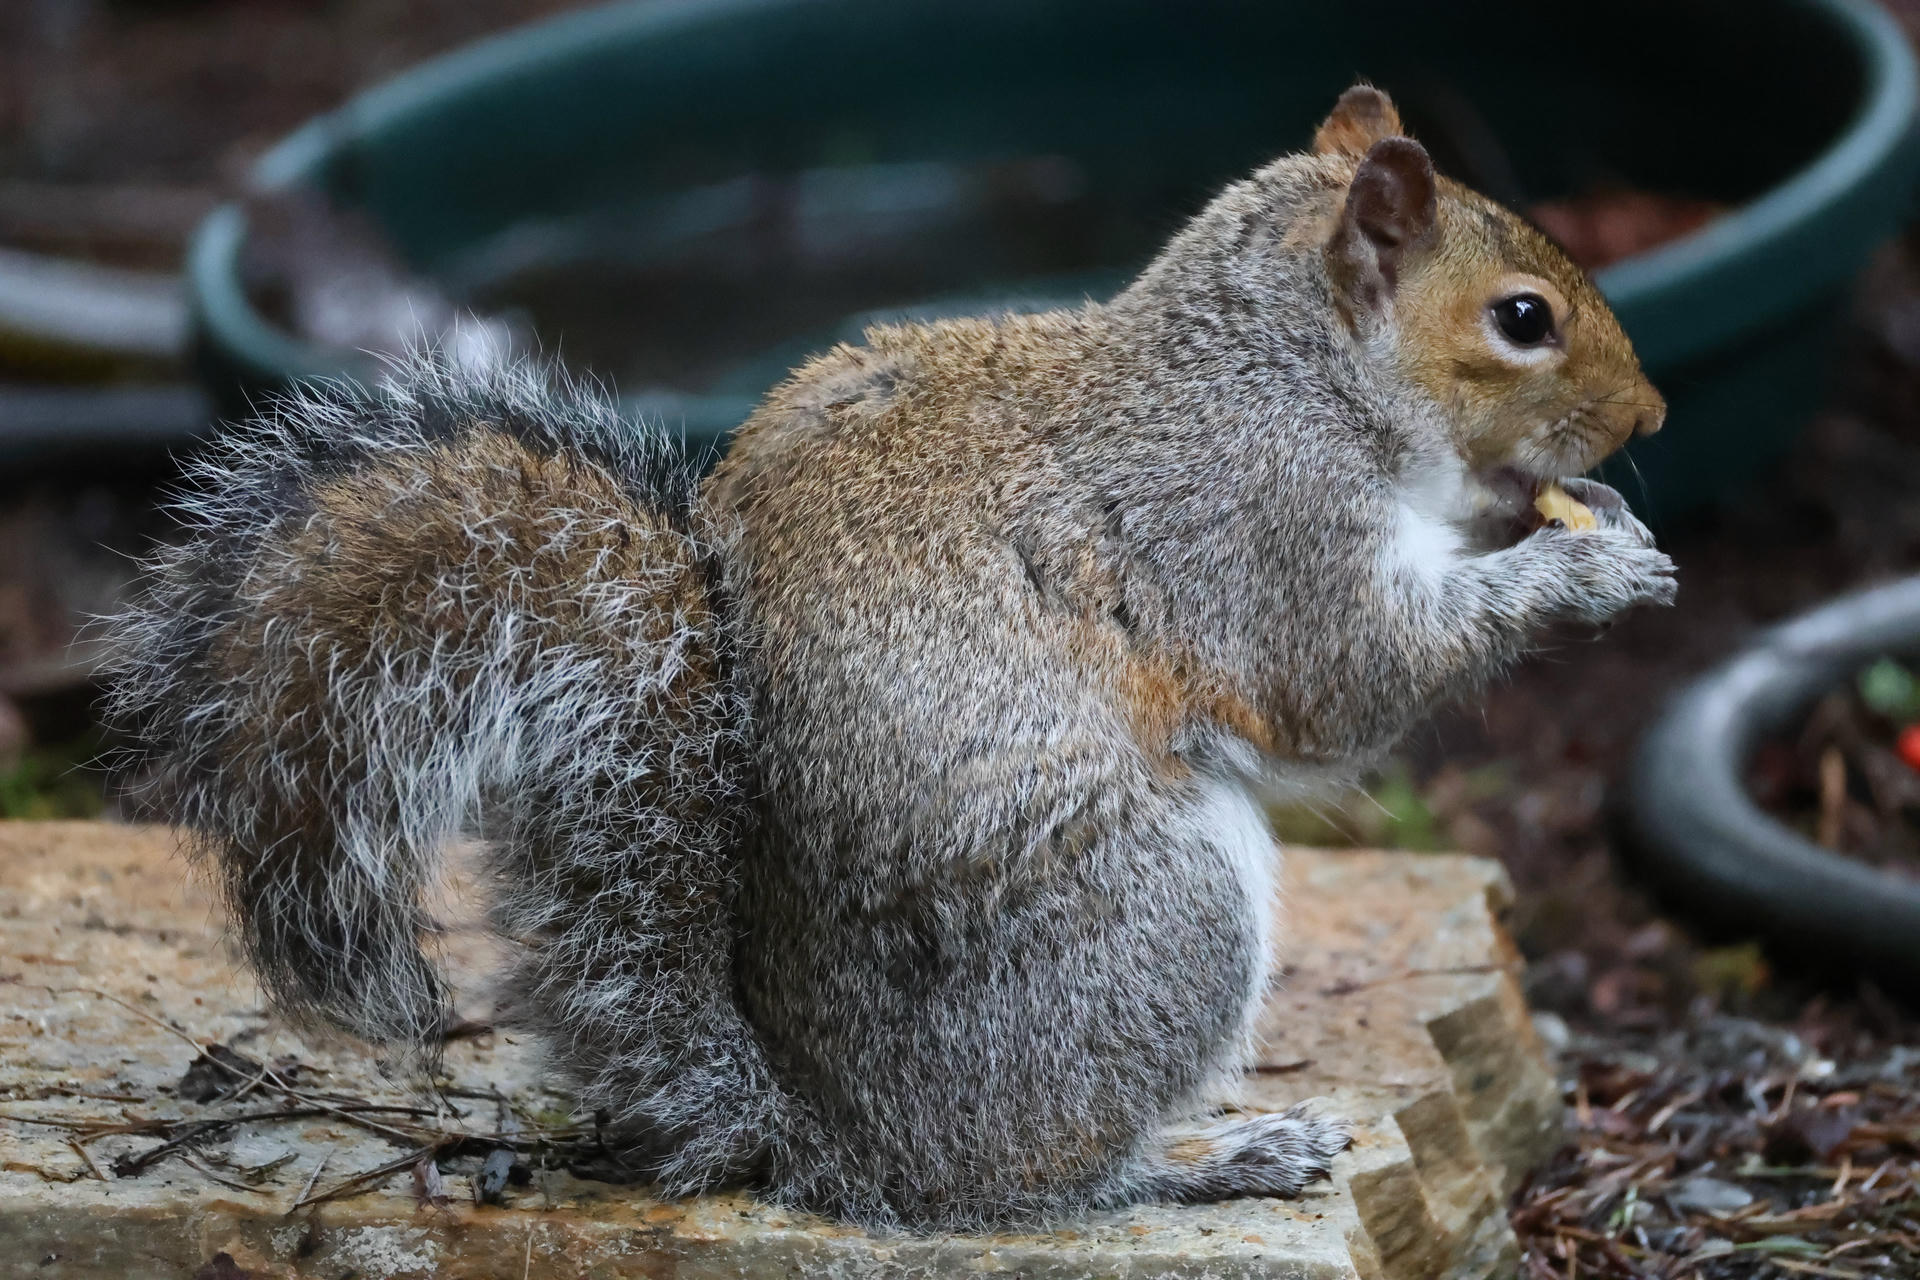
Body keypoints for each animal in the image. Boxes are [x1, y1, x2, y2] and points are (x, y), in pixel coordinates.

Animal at [107, 86, 1674, 1232]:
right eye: (1522, 319)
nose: (1651, 419)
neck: (1289, 367)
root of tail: (833, 1141)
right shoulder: (1252, 522)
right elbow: (1346, 679)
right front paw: (1583, 566)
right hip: (1154, 920)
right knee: (1031, 1184)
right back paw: (1208, 1157)